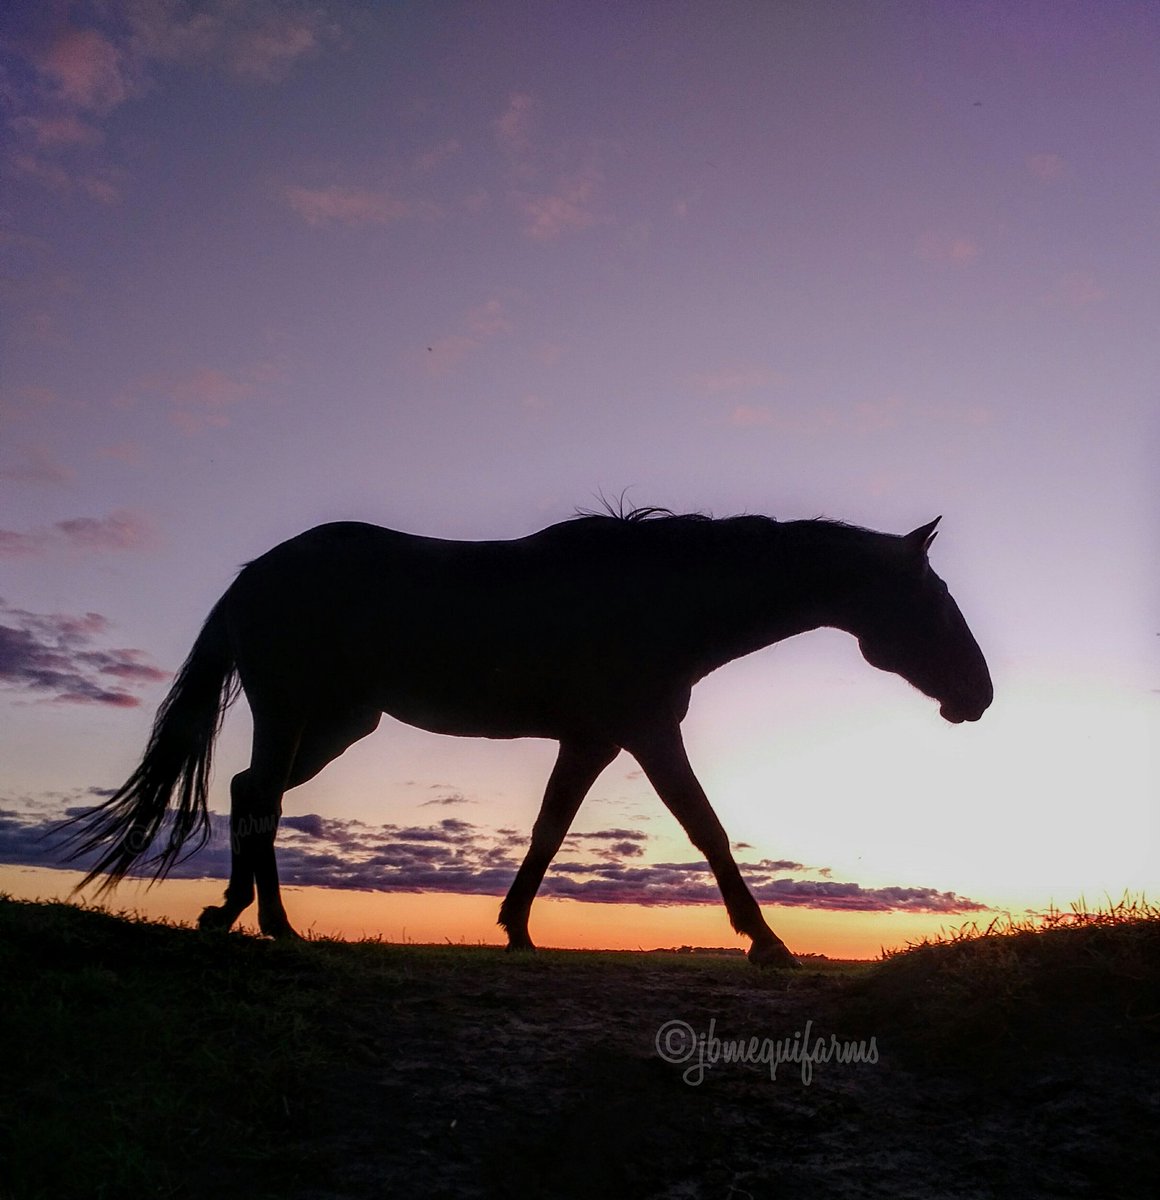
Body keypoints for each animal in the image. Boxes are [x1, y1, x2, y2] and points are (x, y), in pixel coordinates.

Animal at [59, 507, 992, 966]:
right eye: (935, 599)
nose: (978, 696)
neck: (663, 597)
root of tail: (257, 572)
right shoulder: (646, 731)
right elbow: (708, 830)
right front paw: (767, 942)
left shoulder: (593, 740)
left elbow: (549, 830)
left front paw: (513, 928)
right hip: (297, 714)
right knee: (257, 800)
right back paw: (273, 925)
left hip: (334, 724)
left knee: (250, 793)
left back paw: (238, 913)